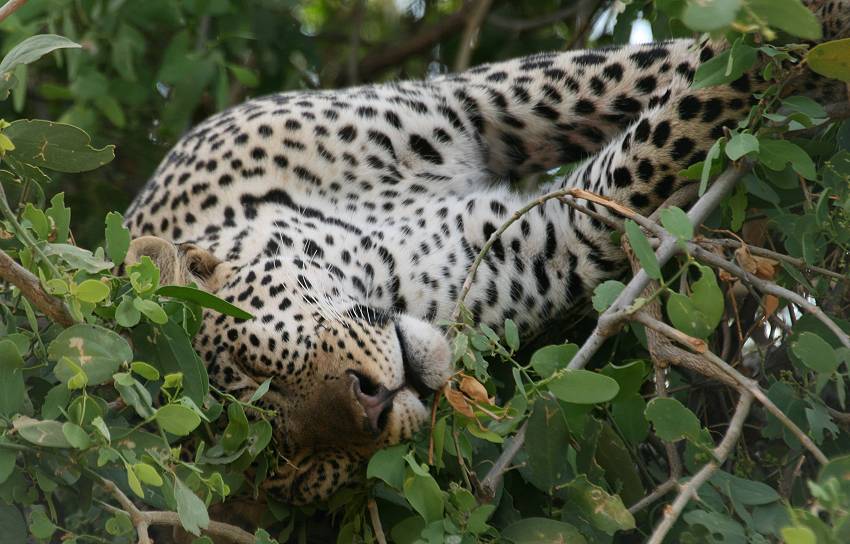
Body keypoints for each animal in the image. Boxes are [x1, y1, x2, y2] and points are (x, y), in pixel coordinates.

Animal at [124, 2, 848, 506]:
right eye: (307, 466)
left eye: (259, 363)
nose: (372, 408)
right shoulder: (540, 244)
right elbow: (660, 141)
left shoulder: (480, 101)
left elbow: (683, 69)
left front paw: (816, 29)